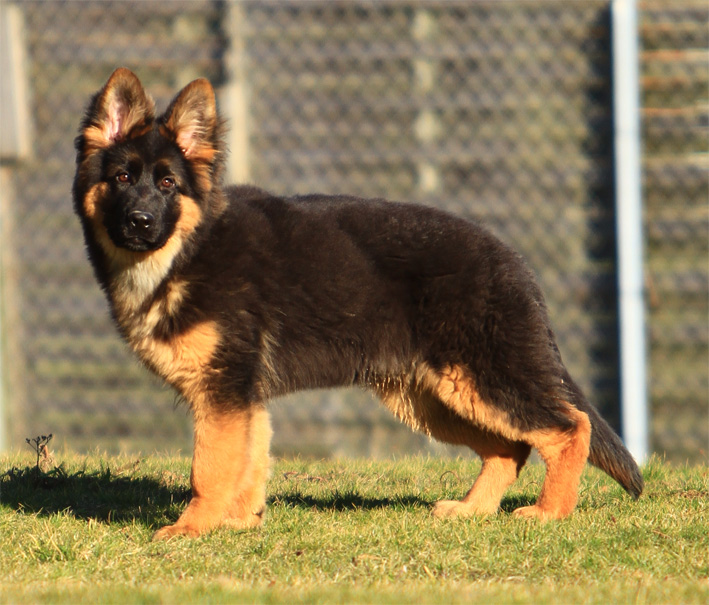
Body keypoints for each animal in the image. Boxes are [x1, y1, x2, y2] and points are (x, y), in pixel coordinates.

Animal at [73, 68, 643, 540]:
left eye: (168, 183)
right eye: (122, 178)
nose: (140, 223)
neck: (189, 250)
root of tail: (513, 261)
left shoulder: (224, 390)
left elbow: (208, 468)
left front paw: (191, 529)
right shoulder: (242, 397)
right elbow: (249, 462)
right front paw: (239, 523)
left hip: (482, 379)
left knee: (570, 428)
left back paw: (550, 513)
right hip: (435, 395)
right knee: (511, 446)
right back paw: (472, 510)